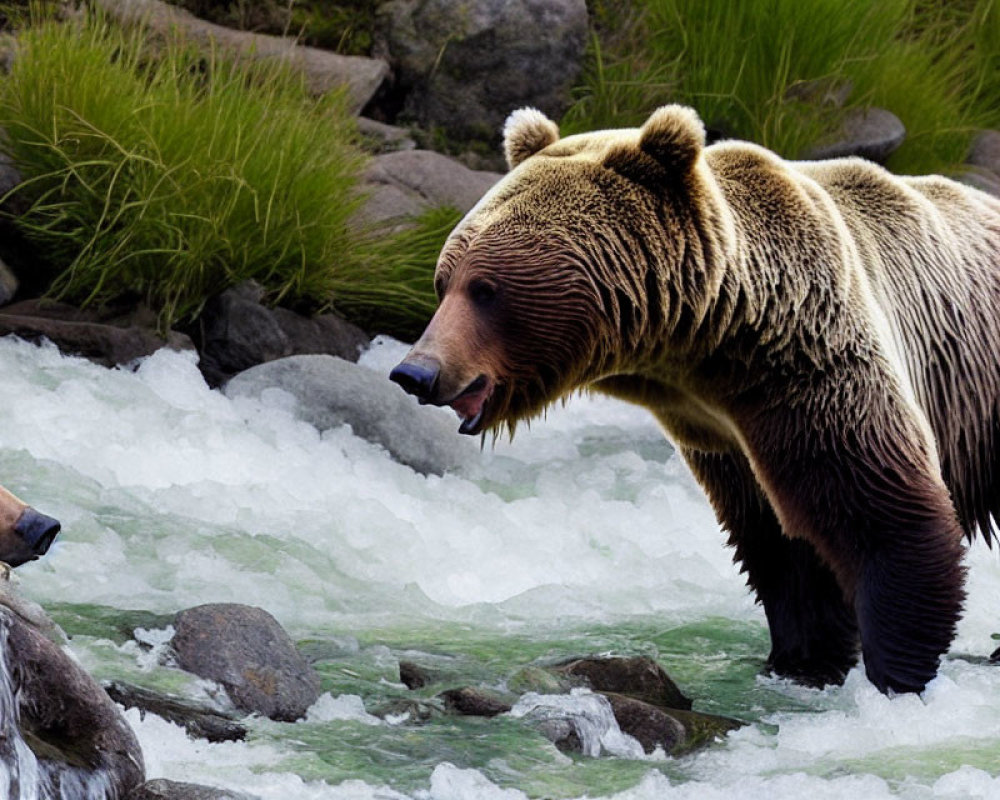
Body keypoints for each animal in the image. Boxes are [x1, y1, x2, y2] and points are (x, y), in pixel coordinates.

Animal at [388, 104, 1000, 692]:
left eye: (485, 289)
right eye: (444, 281)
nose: (415, 371)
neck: (714, 343)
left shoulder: (815, 367)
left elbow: (883, 513)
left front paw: (899, 672)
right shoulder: (719, 432)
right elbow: (782, 548)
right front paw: (804, 659)